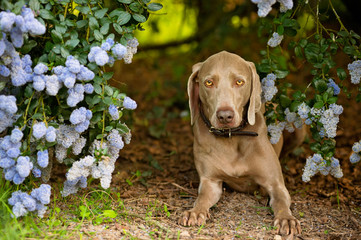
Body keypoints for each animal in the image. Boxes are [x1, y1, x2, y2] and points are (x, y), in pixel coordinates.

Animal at [179, 51, 300, 237]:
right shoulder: (210, 182)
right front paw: (195, 212)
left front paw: (287, 219)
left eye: (239, 82)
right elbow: (202, 198)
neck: (231, 136)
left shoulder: (275, 183)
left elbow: (280, 201)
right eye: (208, 82)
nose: (225, 116)